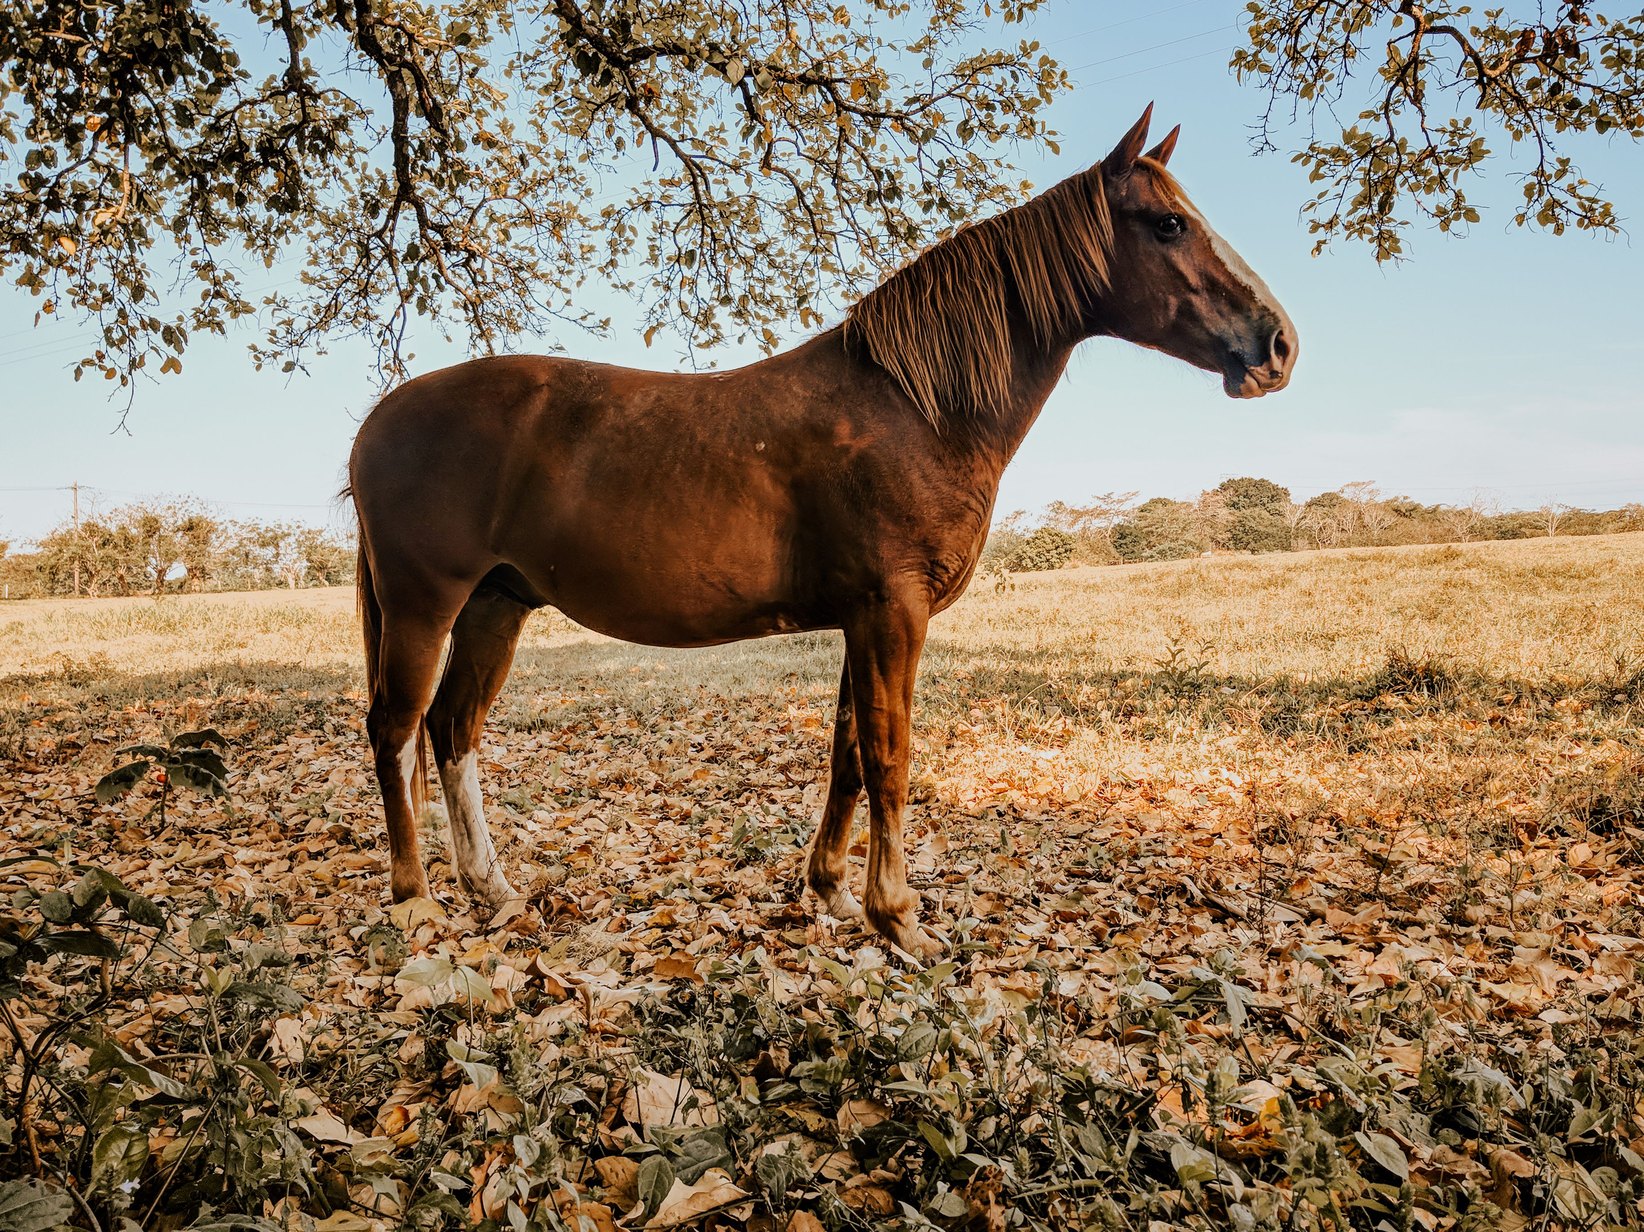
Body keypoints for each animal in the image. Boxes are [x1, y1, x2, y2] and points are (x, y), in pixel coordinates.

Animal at [348, 106, 1297, 958]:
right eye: (1169, 224)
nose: (1277, 345)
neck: (916, 405)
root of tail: (378, 418)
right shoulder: (892, 612)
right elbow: (890, 756)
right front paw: (898, 917)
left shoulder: (861, 618)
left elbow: (846, 752)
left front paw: (833, 892)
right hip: (426, 607)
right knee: (395, 731)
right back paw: (416, 900)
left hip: (496, 606)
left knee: (452, 731)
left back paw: (491, 889)